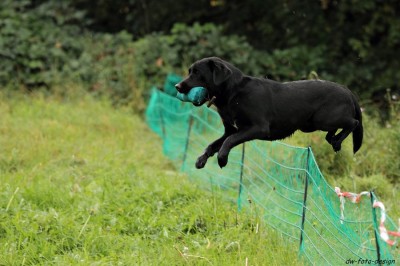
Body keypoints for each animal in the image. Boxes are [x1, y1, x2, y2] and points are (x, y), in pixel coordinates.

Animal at [175, 56, 362, 168]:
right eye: (189, 71)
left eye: (197, 73)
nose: (177, 86)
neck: (232, 93)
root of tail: (348, 90)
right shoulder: (231, 129)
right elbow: (214, 144)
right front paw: (201, 159)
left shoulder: (257, 128)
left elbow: (228, 141)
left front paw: (222, 159)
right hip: (314, 124)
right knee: (334, 131)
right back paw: (334, 140)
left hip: (323, 119)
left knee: (354, 122)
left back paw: (337, 141)